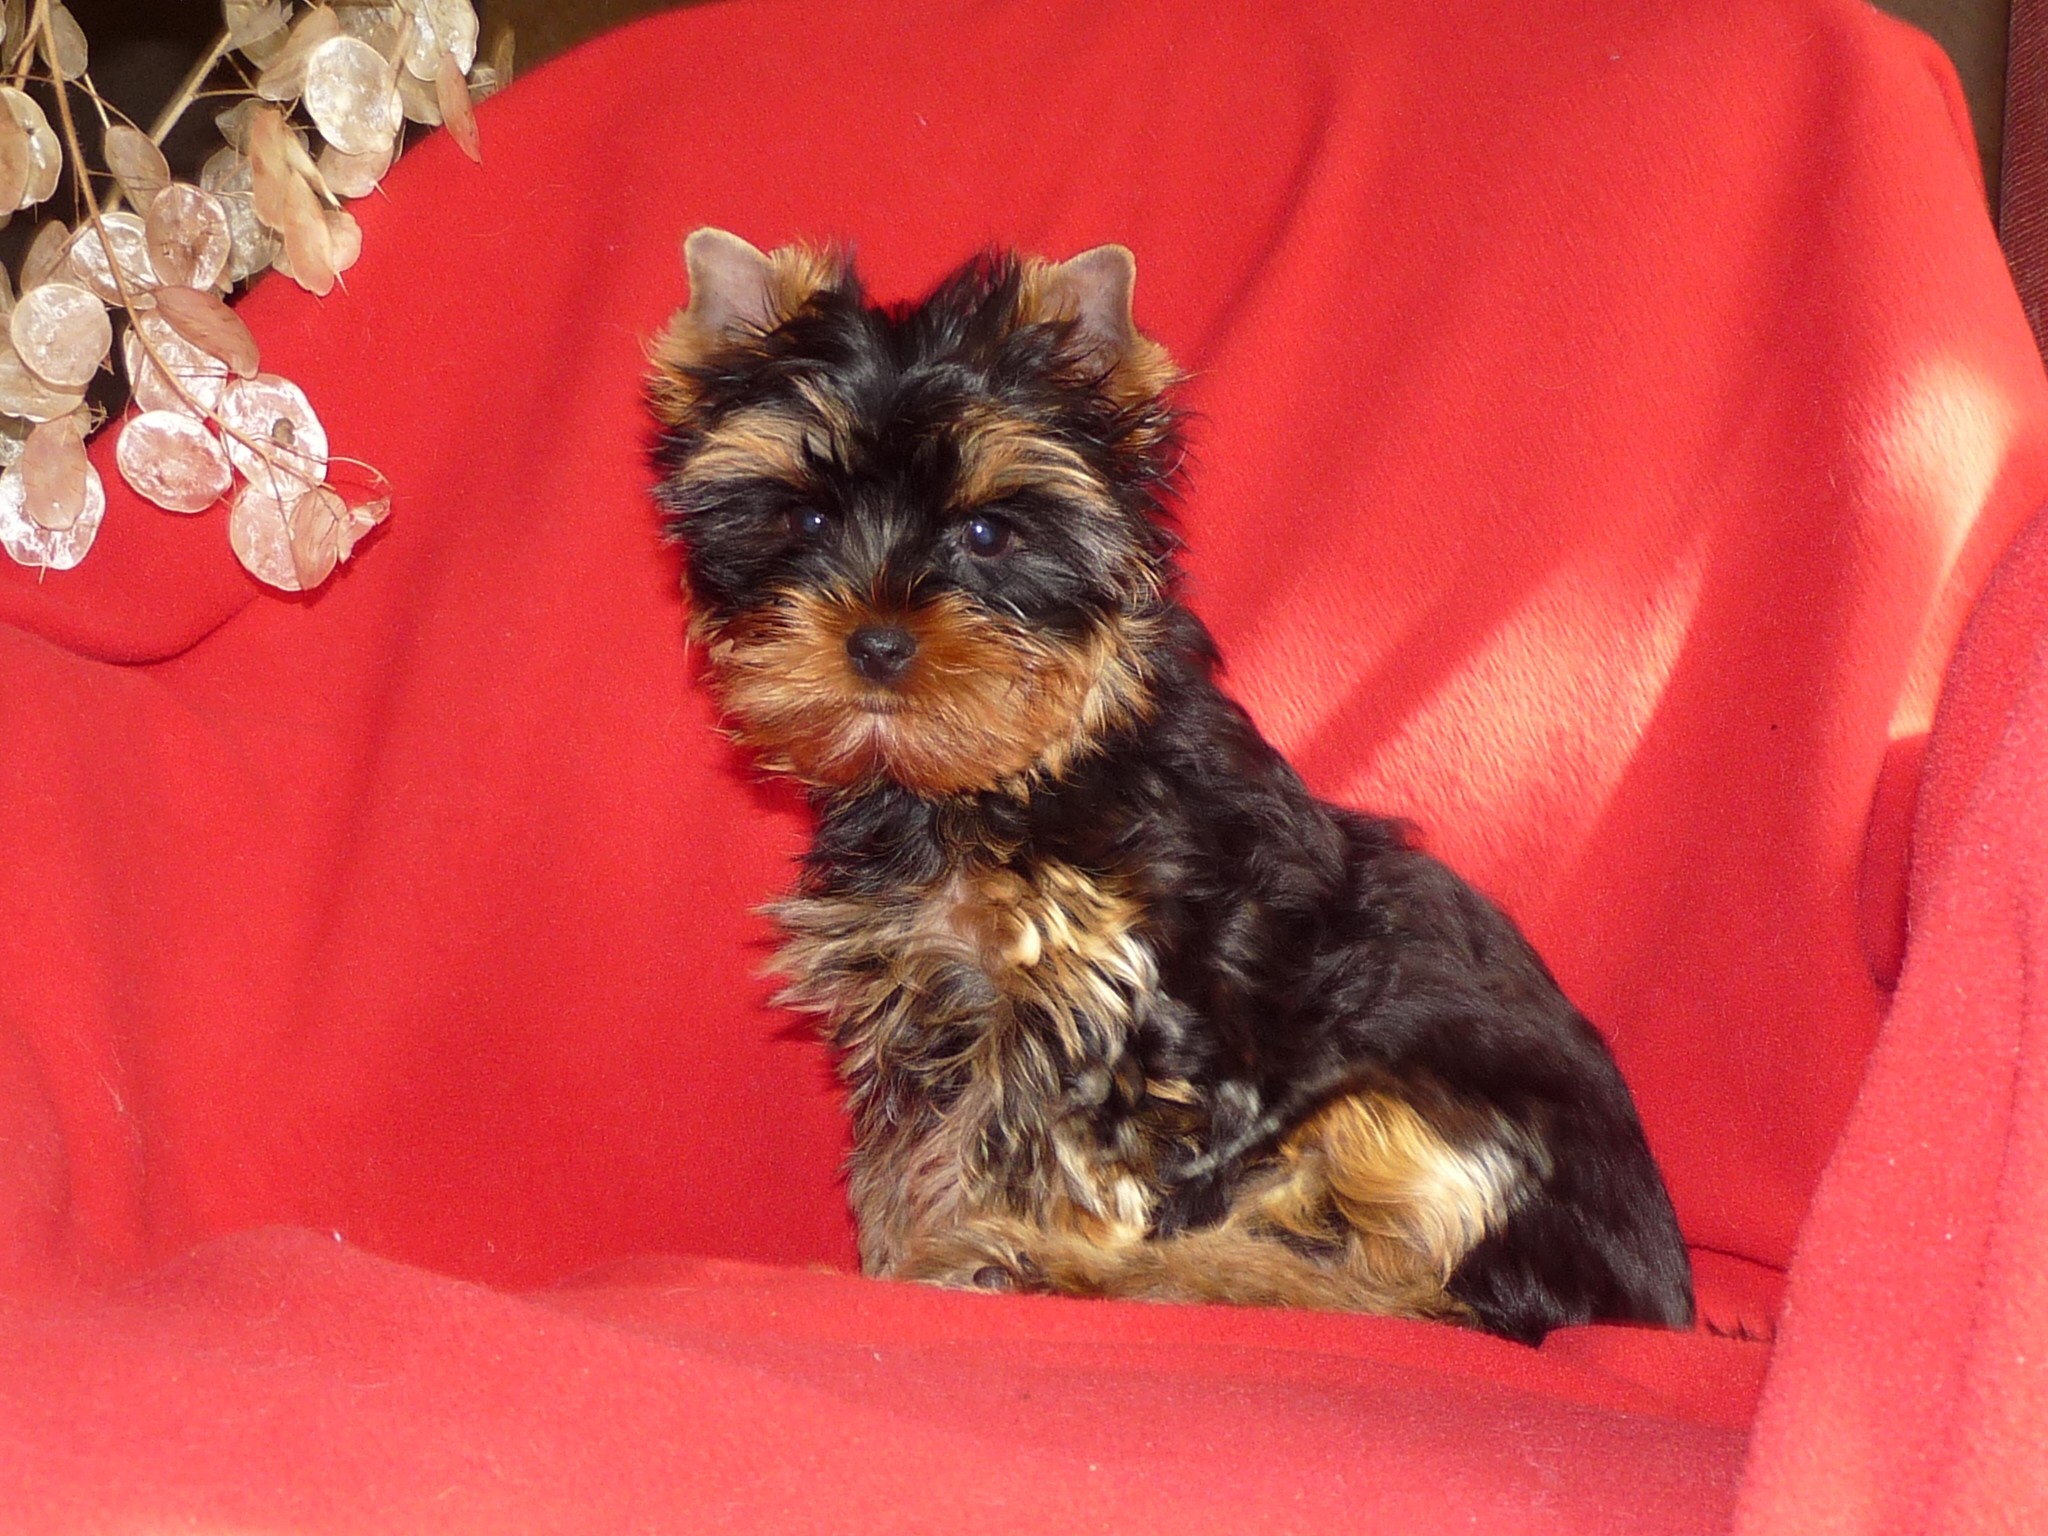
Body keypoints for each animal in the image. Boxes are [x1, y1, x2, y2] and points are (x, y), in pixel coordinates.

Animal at [648, 229, 1694, 1344]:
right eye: (801, 520)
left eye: (988, 535)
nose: (877, 643)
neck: (1002, 778)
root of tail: (1647, 1309)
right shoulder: (921, 998)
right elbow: (914, 1150)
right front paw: (896, 1256)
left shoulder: (1096, 999)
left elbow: (1028, 1149)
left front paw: (958, 1255)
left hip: (1416, 1128)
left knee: (1385, 1289)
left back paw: (1082, 1268)